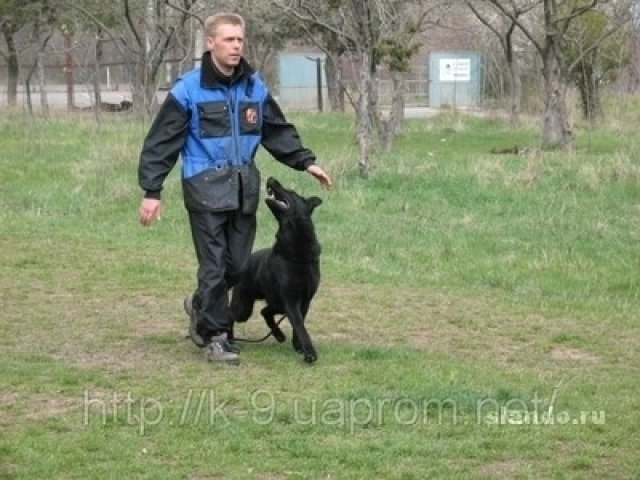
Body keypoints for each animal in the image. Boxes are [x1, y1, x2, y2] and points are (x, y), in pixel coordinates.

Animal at [229, 178, 322, 362]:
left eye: (291, 192)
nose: (272, 179)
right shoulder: (291, 302)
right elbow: (300, 326)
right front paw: (309, 352)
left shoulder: (304, 302)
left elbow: (299, 326)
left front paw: (298, 346)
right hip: (245, 308)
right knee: (229, 314)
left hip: (277, 304)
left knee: (264, 311)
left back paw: (278, 334)